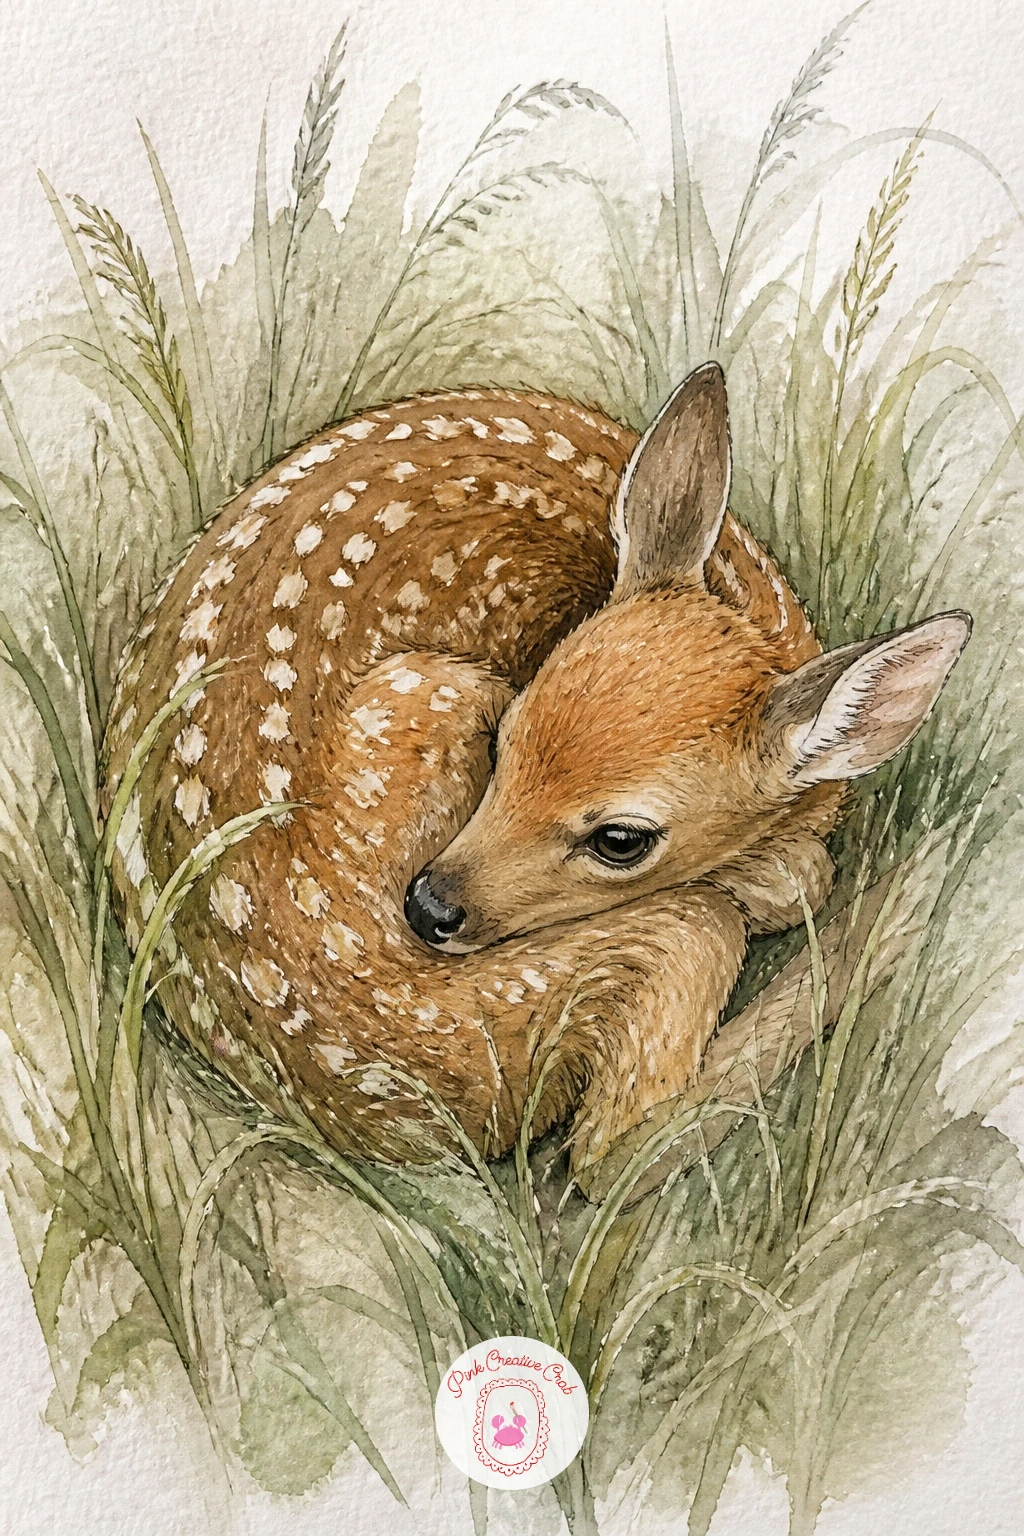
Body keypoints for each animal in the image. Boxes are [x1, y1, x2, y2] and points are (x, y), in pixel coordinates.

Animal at [101, 363, 970, 1174]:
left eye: (621, 840)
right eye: (504, 740)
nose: (429, 907)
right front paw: (779, 879)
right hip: (451, 711)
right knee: (613, 1152)